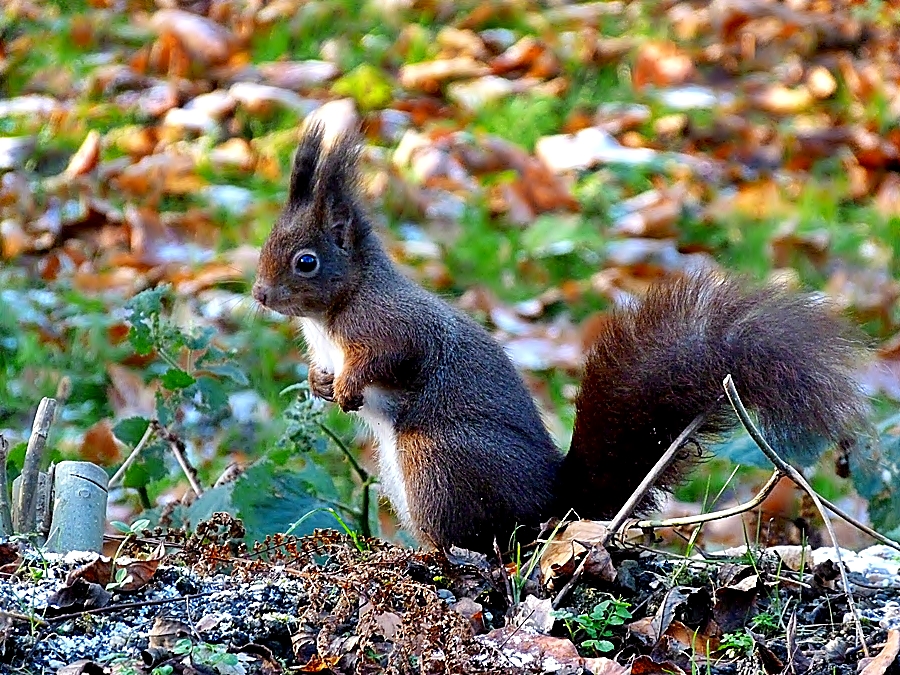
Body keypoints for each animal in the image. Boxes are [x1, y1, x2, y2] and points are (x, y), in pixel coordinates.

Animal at [253, 125, 872, 556]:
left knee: (481, 537)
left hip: (436, 457)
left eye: (306, 262)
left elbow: (392, 357)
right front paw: (321, 383)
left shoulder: (391, 324)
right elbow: (323, 371)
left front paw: (348, 387)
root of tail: (553, 502)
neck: (335, 311)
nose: (259, 294)